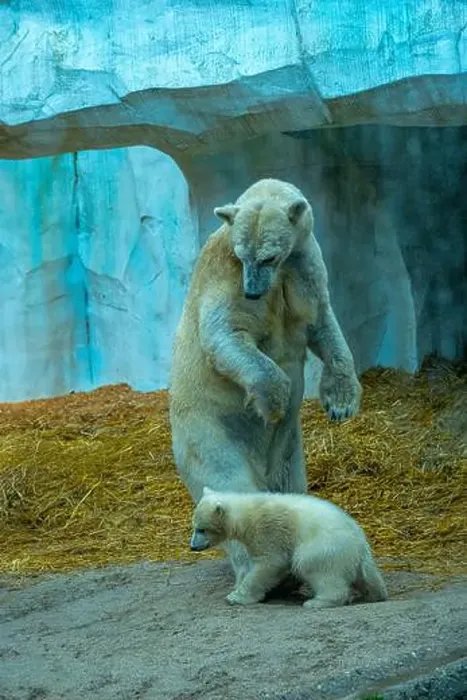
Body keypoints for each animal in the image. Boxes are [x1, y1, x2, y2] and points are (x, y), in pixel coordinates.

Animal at [169, 178, 362, 586]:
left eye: (270, 257)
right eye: (244, 256)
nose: (254, 291)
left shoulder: (305, 264)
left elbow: (323, 324)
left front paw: (341, 401)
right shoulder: (225, 279)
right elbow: (226, 333)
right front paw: (274, 401)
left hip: (290, 453)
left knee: (292, 488)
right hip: (211, 432)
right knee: (231, 484)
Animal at [190, 487, 388, 609]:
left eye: (202, 529)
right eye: (194, 526)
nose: (192, 546)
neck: (247, 512)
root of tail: (360, 545)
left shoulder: (269, 529)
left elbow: (271, 563)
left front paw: (237, 596)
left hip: (325, 548)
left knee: (313, 566)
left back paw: (317, 602)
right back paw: (371, 595)